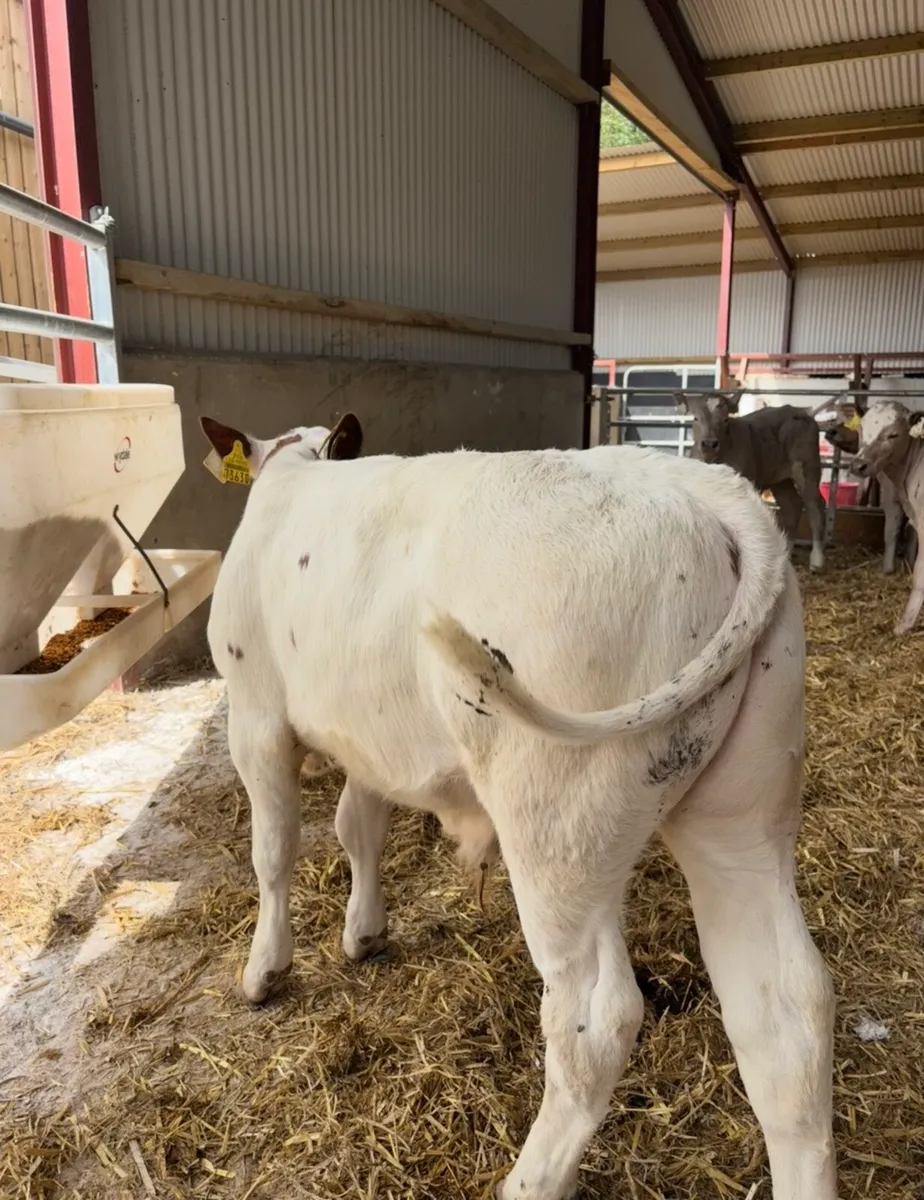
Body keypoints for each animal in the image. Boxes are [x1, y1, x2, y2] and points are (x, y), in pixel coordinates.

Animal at [200, 413, 837, 1200]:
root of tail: (705, 488)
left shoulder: (255, 717)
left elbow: (275, 851)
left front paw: (265, 968)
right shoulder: (369, 740)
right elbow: (359, 828)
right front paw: (364, 930)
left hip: (557, 821)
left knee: (597, 1016)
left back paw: (530, 1179)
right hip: (743, 814)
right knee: (785, 1013)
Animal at [677, 392, 827, 573]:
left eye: (725, 419)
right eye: (695, 418)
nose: (709, 443)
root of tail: (800, 412)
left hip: (807, 467)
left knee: (815, 506)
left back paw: (817, 560)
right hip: (780, 480)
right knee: (792, 506)